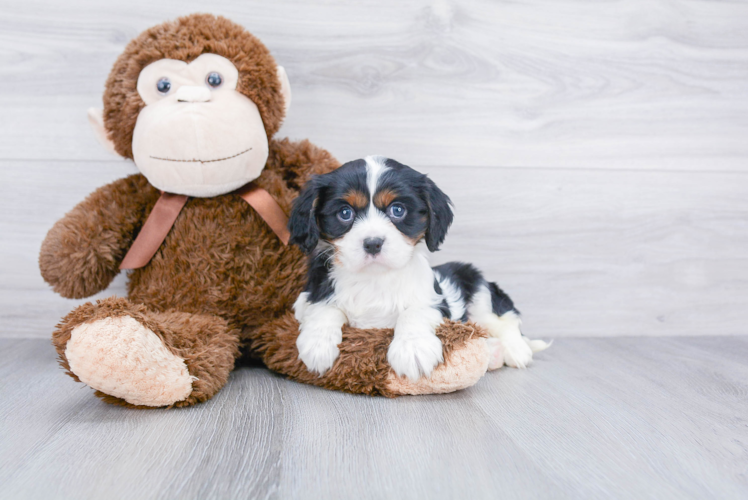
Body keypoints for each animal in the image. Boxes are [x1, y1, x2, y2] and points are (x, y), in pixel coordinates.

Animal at [290, 156, 548, 378]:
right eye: (345, 213)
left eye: (398, 210)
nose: (373, 243)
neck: (375, 278)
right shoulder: (314, 294)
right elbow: (324, 308)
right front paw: (317, 344)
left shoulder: (436, 300)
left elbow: (414, 312)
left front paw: (412, 349)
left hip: (480, 292)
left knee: (505, 320)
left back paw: (515, 349)